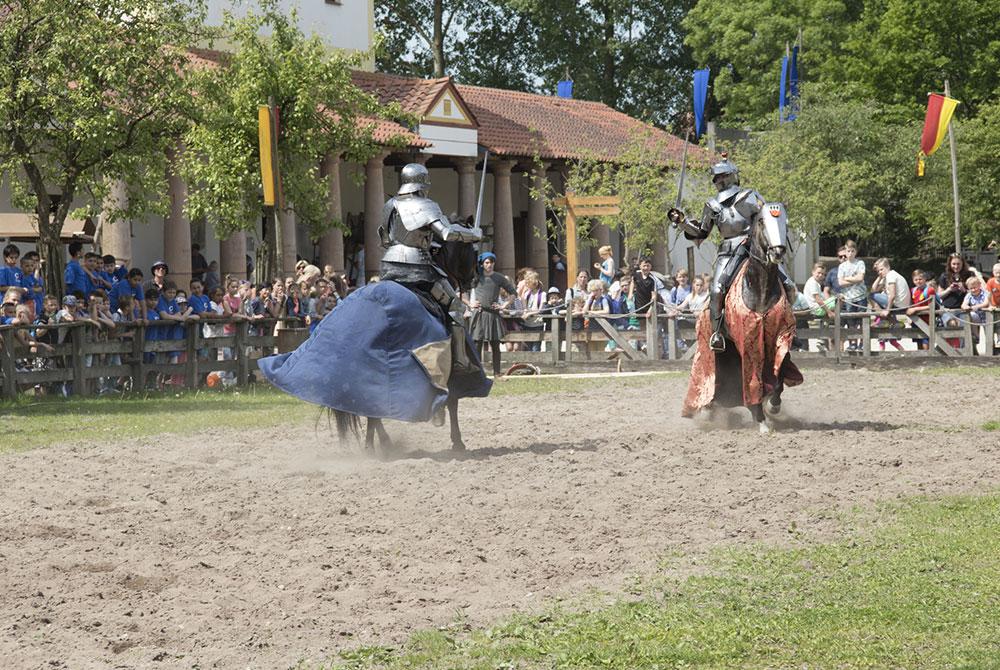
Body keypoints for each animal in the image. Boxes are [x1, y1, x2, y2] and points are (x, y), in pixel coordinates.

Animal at [680, 205, 804, 434]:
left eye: (786, 221)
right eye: (762, 221)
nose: (778, 252)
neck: (760, 287)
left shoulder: (780, 336)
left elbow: (780, 369)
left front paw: (773, 405)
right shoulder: (748, 341)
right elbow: (753, 379)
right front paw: (761, 419)